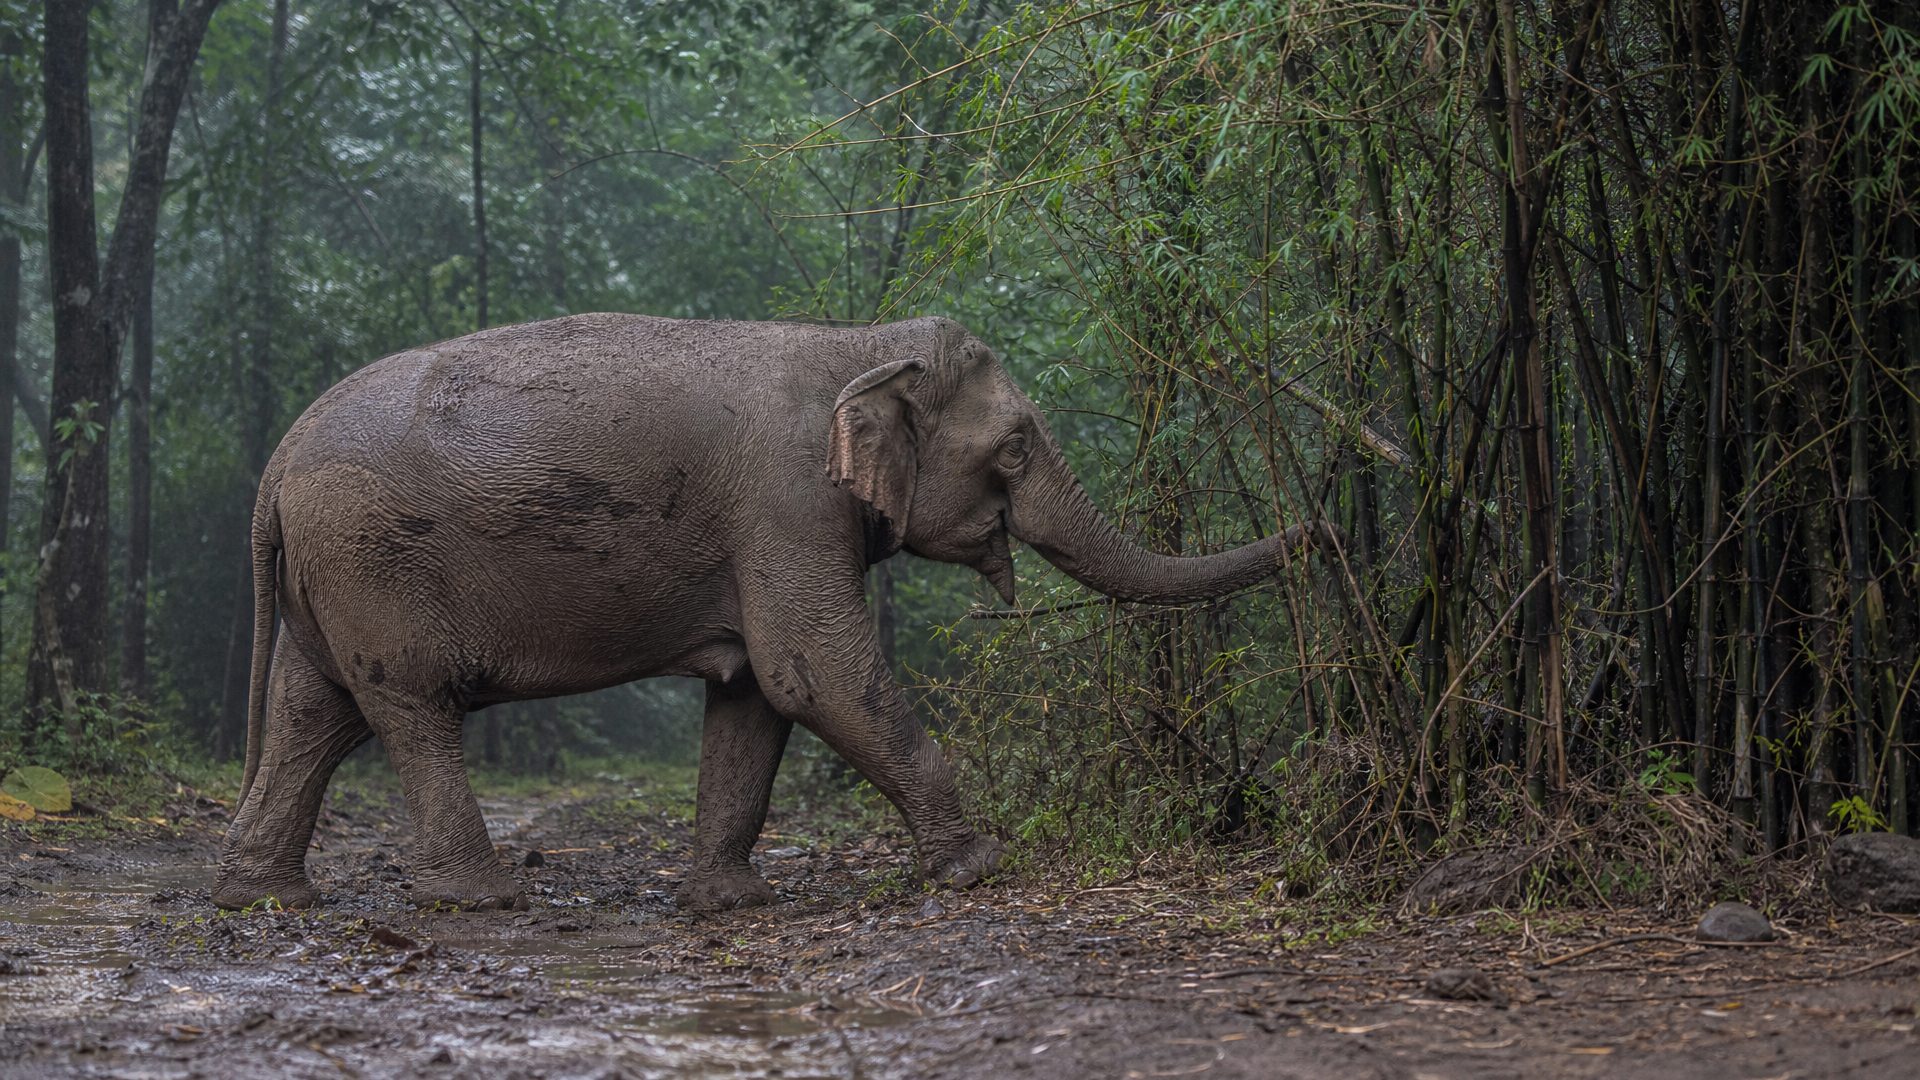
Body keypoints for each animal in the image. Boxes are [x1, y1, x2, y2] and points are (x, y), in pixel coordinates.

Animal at [212, 313, 1327, 913]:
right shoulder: (789, 504)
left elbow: (757, 690)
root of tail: (271, 468)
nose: (1315, 530)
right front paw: (979, 866)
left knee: (314, 713)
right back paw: (478, 897)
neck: (858, 344)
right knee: (409, 708)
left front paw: (729, 902)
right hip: (375, 562)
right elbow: (812, 671)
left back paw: (263, 893)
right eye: (1014, 447)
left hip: (329, 578)